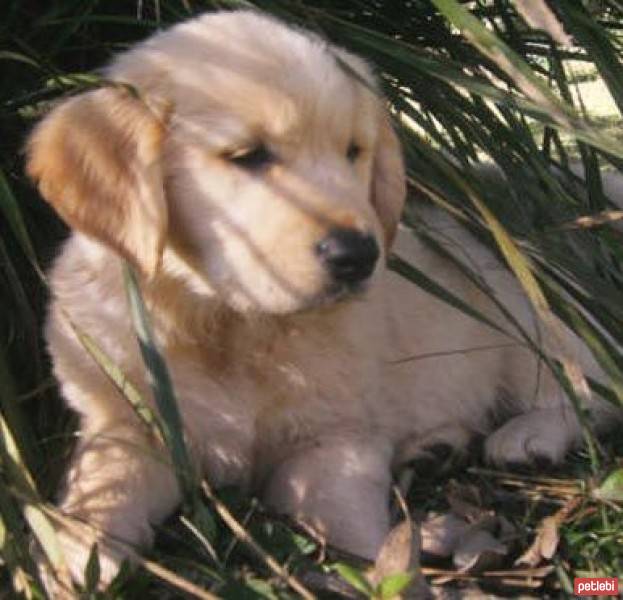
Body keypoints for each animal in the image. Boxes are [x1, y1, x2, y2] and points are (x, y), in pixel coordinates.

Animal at [25, 8, 620, 584]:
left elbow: (346, 521)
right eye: (247, 155)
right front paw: (77, 547)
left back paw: (528, 436)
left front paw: (384, 573)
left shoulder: (334, 440)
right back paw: (435, 448)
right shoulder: (126, 419)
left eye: (354, 151)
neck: (230, 322)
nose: (358, 254)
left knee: (591, 391)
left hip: (521, 294)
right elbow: (106, 478)